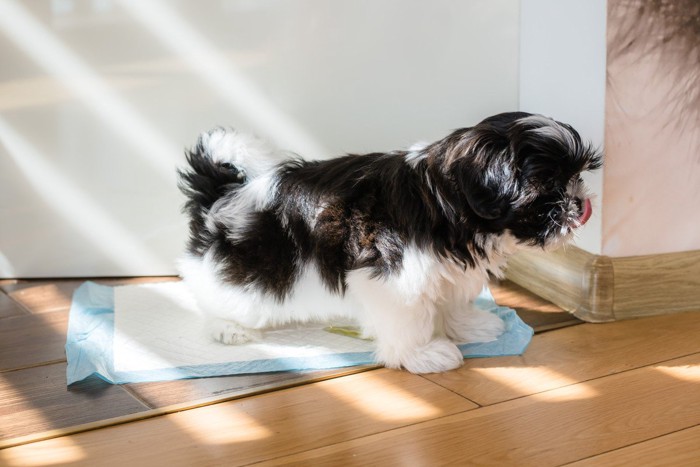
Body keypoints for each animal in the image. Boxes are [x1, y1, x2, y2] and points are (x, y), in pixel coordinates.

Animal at [176, 111, 600, 374]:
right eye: (548, 185)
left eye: (576, 176)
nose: (580, 204)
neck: (444, 199)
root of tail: (223, 194)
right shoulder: (396, 276)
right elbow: (410, 318)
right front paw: (423, 354)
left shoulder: (445, 269)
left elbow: (452, 300)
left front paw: (470, 326)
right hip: (251, 269)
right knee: (217, 291)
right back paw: (227, 327)